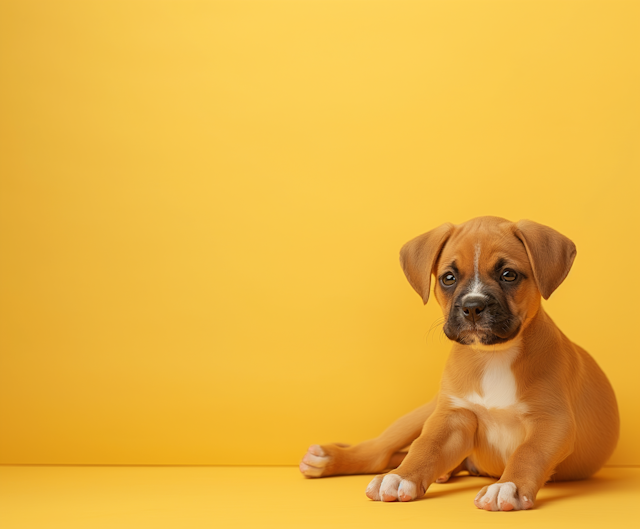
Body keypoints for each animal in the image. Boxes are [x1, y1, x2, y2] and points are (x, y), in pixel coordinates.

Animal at [300, 217, 620, 510]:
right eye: (448, 278)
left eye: (509, 275)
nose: (473, 306)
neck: (493, 356)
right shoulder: (452, 417)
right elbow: (425, 447)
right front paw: (402, 477)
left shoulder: (551, 422)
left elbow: (528, 452)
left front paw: (509, 486)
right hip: (423, 412)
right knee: (380, 451)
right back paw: (332, 459)